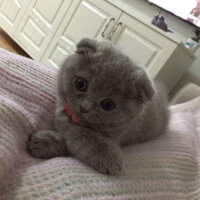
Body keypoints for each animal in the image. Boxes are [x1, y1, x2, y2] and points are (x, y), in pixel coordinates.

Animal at [27, 38, 169, 175]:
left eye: (108, 105)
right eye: (80, 84)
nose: (84, 107)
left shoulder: (119, 134)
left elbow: (82, 138)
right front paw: (45, 140)